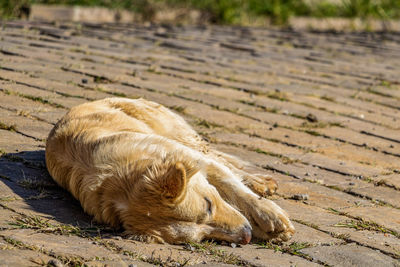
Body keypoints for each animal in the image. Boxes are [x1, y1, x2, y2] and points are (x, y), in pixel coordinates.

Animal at [47, 98, 296, 245]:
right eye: (201, 237)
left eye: (209, 205)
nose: (246, 236)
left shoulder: (196, 159)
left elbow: (235, 188)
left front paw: (268, 216)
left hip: (184, 136)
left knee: (223, 159)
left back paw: (260, 182)